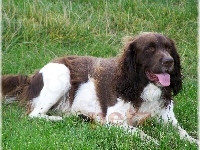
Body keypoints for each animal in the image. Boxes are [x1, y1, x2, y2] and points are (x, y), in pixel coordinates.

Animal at [1, 32, 198, 145]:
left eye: (168, 48)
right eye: (150, 49)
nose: (169, 62)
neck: (141, 87)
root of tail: (32, 76)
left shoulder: (168, 119)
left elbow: (184, 133)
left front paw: (193, 141)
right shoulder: (115, 121)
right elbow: (139, 132)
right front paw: (153, 141)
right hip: (61, 74)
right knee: (34, 114)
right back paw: (56, 119)